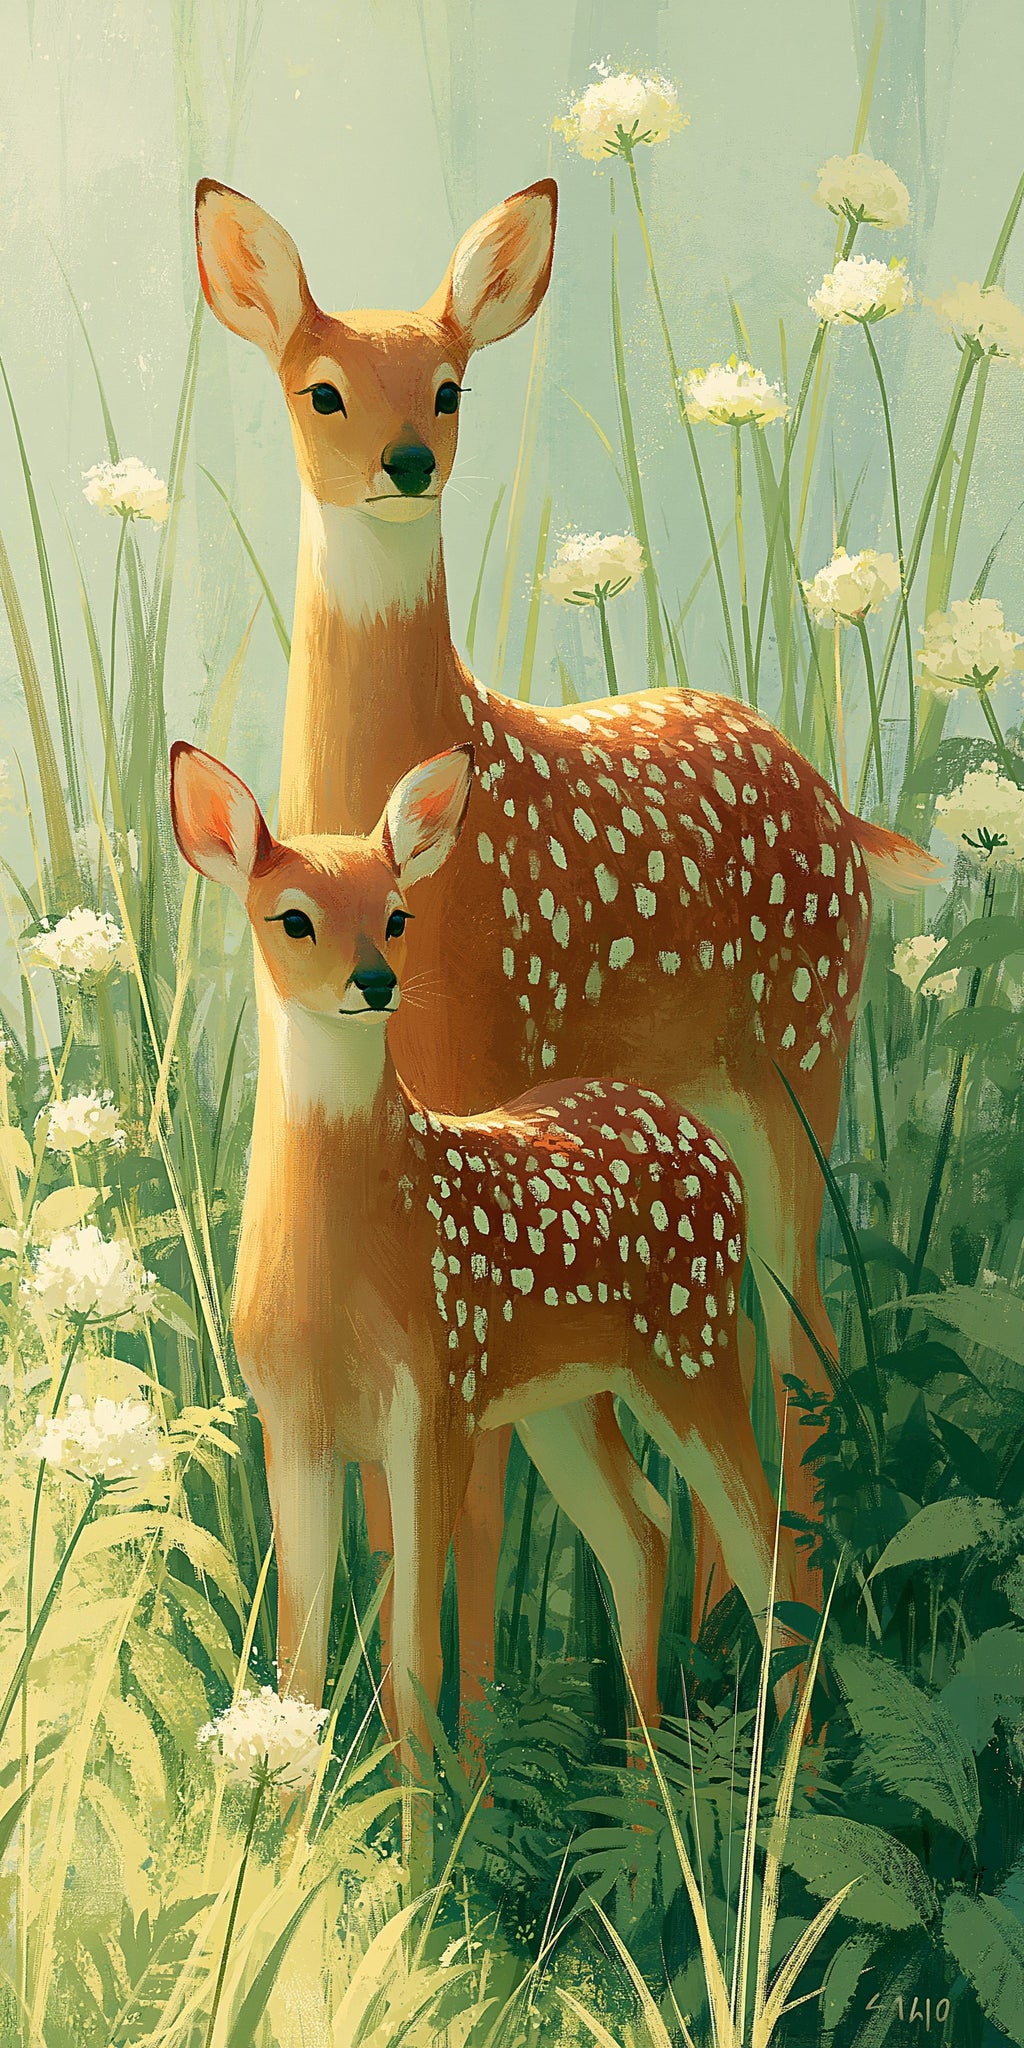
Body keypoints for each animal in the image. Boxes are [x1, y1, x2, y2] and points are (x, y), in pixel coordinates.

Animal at [170, 736, 797, 1748]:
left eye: (397, 914)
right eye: (292, 918)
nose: (375, 983)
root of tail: (702, 1135)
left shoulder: (436, 1399)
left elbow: (413, 1671)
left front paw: (422, 1796)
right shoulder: (293, 1422)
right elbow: (299, 1669)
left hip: (688, 1345)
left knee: (763, 1542)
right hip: (564, 1397)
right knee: (643, 1529)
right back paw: (647, 1769)